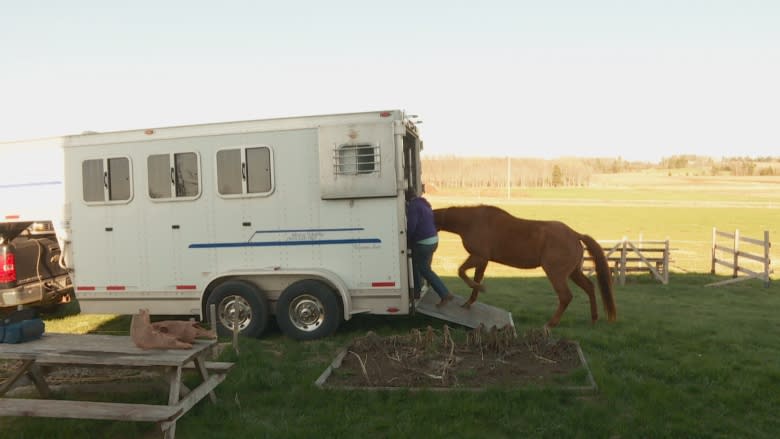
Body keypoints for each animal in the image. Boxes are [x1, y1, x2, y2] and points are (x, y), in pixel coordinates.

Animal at [432, 206, 616, 330]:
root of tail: (575, 234)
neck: (473, 221)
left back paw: (550, 324)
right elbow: (475, 279)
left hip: (556, 274)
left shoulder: (479, 257)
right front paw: (469, 302)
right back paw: (593, 319)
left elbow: (461, 272)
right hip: (574, 273)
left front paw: (481, 289)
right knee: (590, 288)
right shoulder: (483, 260)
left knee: (566, 297)